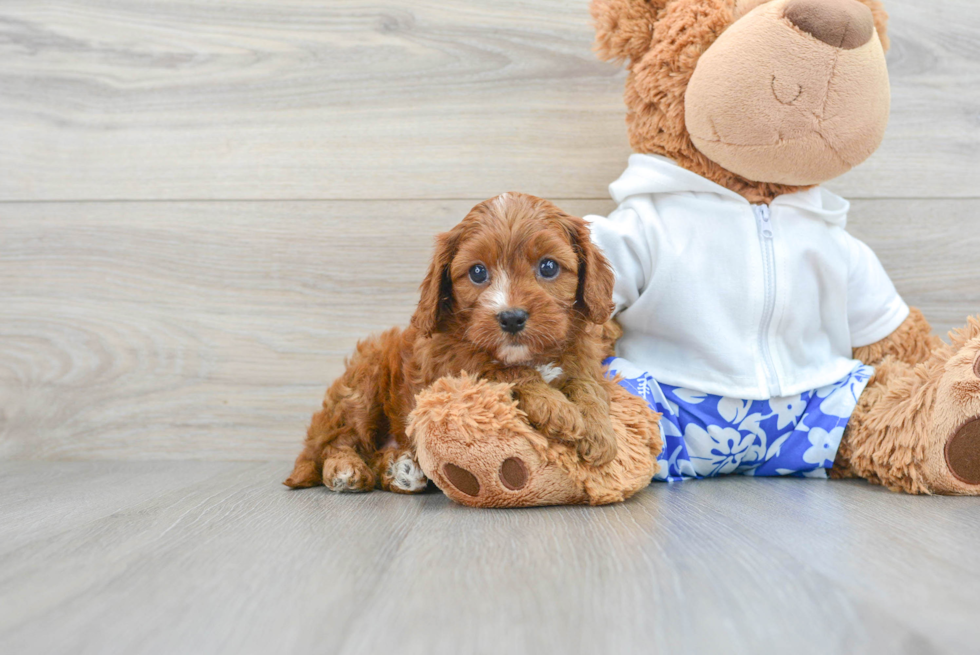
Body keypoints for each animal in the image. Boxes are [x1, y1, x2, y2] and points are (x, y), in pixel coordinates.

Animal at [284, 192, 616, 494]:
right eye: (478, 272)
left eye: (548, 267)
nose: (511, 318)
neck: (527, 354)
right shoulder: (451, 368)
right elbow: (502, 371)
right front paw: (556, 408)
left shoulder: (582, 357)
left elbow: (587, 385)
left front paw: (598, 431)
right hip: (363, 384)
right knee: (334, 442)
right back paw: (345, 469)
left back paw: (400, 470)